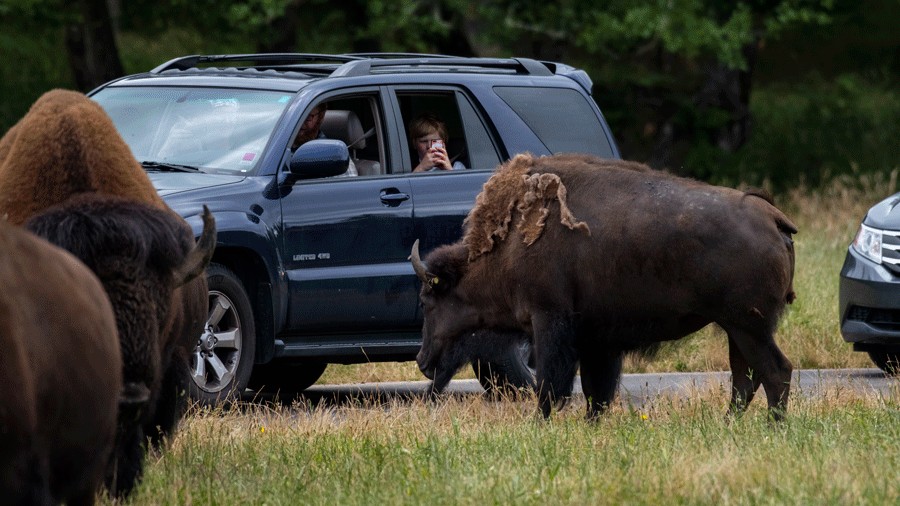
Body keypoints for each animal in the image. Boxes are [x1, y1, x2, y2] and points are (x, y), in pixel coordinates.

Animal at [412, 154, 797, 420]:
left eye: (428, 300)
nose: (422, 361)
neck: (510, 244)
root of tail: (772, 216)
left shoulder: (550, 322)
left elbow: (551, 386)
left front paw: (539, 423)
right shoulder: (596, 339)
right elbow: (594, 391)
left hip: (749, 327)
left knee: (775, 372)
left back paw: (771, 427)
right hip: (737, 329)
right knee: (745, 379)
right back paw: (728, 423)